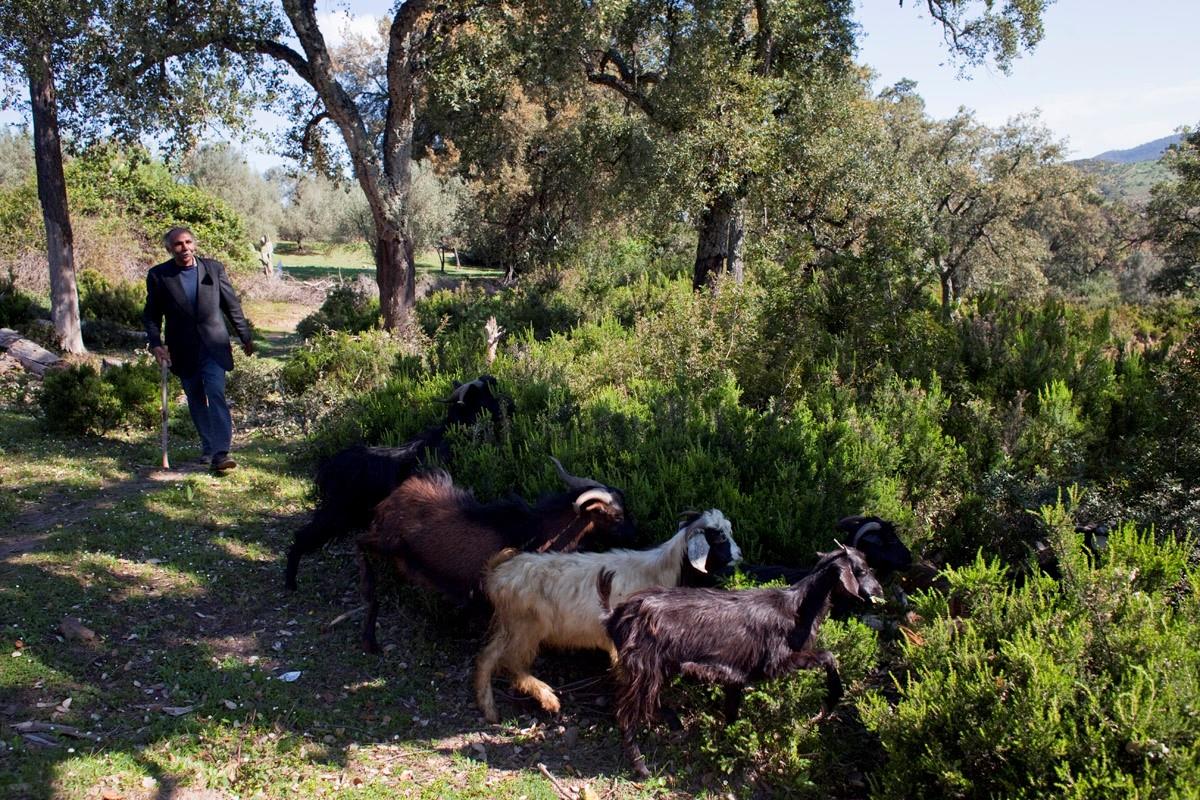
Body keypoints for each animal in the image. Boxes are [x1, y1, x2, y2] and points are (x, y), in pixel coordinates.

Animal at [285, 374, 511, 587]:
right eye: (485, 397)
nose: (508, 405)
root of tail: (326, 468)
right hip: (336, 513)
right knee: (301, 536)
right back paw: (290, 583)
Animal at [355, 460, 638, 652]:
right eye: (617, 516)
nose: (636, 532)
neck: (535, 530)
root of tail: (393, 497)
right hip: (387, 542)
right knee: (360, 544)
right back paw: (370, 633)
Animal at [470, 513, 734, 724]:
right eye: (719, 537)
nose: (737, 559)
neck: (661, 570)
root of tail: (497, 573)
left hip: (511, 625)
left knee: (488, 657)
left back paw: (489, 709)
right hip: (526, 626)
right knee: (511, 661)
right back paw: (548, 698)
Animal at [604, 544, 888, 777]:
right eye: (862, 570)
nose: (879, 591)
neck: (797, 609)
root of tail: (615, 616)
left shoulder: (735, 676)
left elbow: (731, 712)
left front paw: (728, 746)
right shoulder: (776, 662)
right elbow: (828, 656)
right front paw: (831, 700)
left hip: (656, 668)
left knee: (651, 702)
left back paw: (675, 724)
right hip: (642, 668)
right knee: (626, 715)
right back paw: (642, 766)